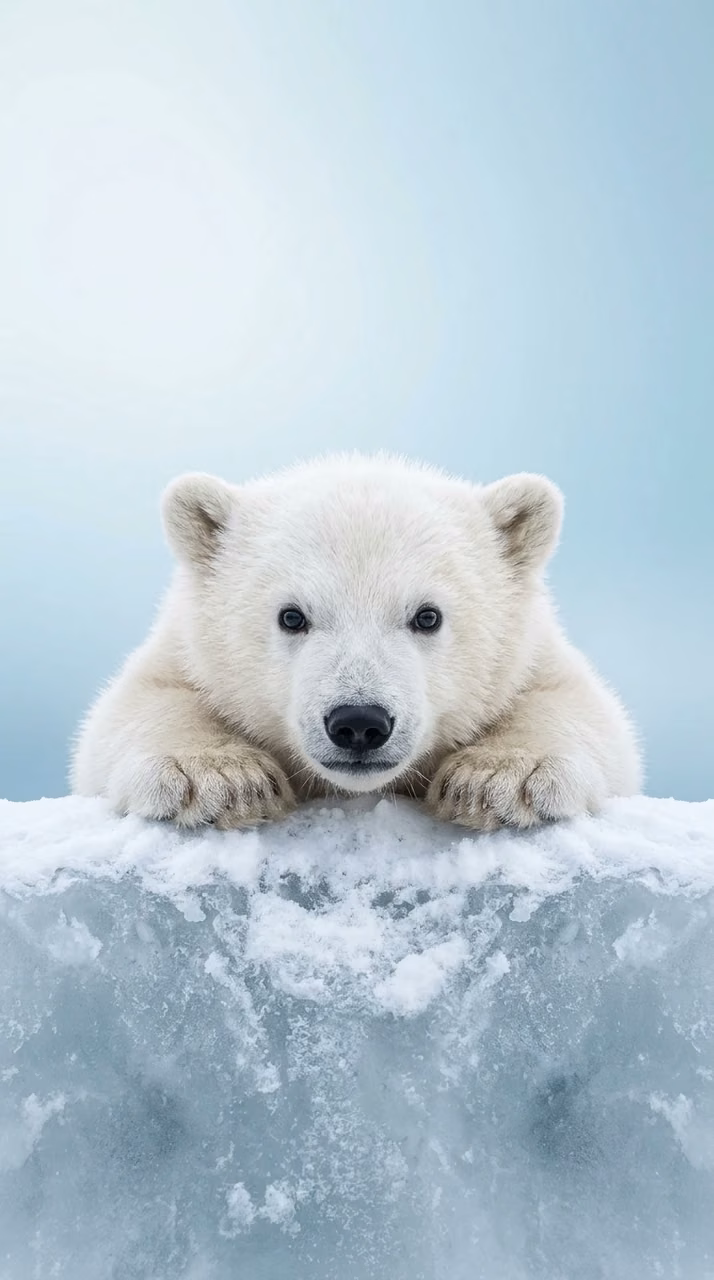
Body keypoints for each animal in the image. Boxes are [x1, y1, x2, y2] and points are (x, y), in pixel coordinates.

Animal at [71, 453, 642, 830]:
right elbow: (135, 706)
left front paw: (499, 778)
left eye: (427, 616)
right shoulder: (182, 650)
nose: (360, 723)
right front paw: (220, 779)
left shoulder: (533, 653)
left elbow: (580, 708)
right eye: (292, 616)